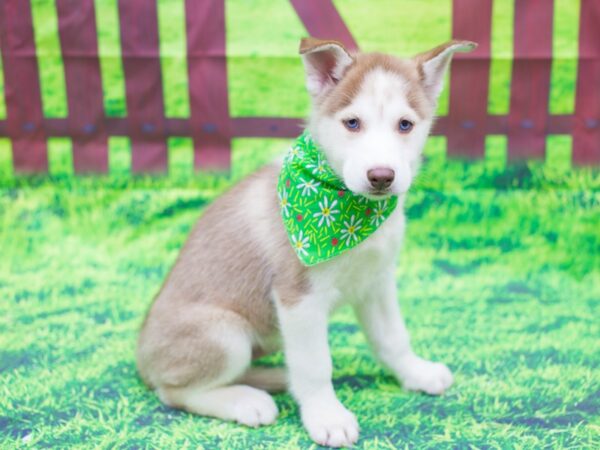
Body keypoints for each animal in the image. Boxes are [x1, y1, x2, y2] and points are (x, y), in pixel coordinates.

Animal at [138, 37, 476, 448]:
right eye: (352, 123)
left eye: (405, 125)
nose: (381, 176)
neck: (352, 214)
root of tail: (141, 359)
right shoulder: (298, 298)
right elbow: (315, 365)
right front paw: (326, 416)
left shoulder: (376, 282)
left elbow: (393, 337)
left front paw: (417, 373)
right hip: (225, 333)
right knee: (173, 391)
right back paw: (247, 401)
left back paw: (275, 379)